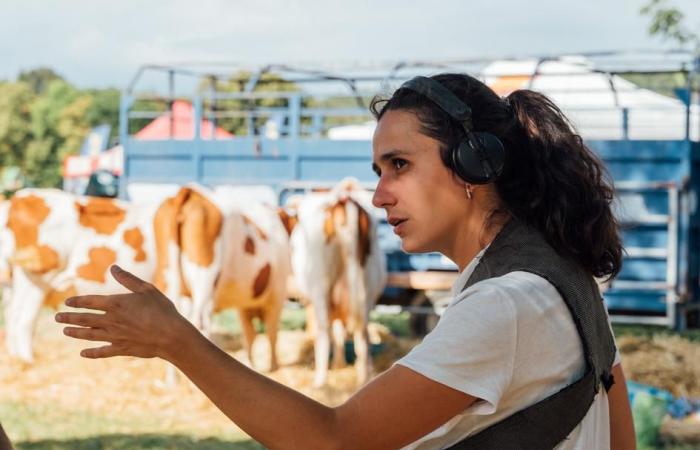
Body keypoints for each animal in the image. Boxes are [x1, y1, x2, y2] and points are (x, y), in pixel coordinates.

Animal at [154, 185, 292, 370]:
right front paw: (274, 366)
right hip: (205, 281)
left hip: (168, 277)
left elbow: (249, 333)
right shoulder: (277, 293)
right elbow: (271, 332)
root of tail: (191, 192)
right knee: (200, 323)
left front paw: (251, 363)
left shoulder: (244, 304)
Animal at [288, 179, 388, 386]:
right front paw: (339, 364)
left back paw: (320, 382)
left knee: (324, 333)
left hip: (320, 288)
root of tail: (344, 200)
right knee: (362, 336)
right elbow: (340, 331)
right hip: (365, 292)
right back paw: (362, 378)